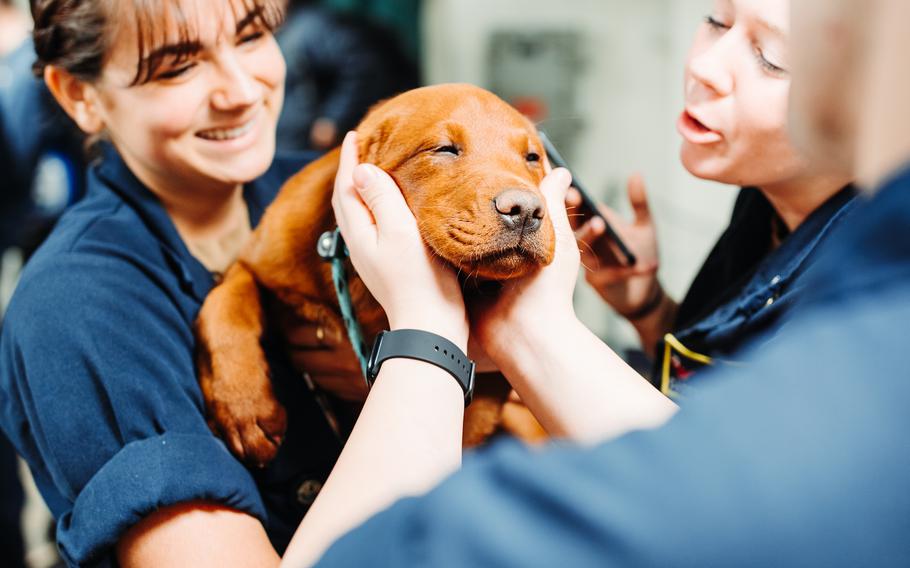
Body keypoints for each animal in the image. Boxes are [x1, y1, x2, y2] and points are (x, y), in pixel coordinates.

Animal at [198, 83, 556, 466]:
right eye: (444, 149)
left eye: (532, 158)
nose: (526, 210)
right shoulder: (256, 261)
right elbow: (225, 304)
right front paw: (242, 404)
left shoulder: (490, 391)